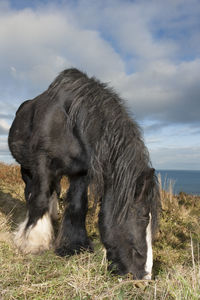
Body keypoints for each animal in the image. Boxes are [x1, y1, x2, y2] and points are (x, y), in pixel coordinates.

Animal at [8, 68, 160, 278]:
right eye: (143, 216)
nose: (144, 276)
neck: (68, 123)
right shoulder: (42, 162)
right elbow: (38, 198)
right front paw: (32, 242)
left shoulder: (81, 172)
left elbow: (78, 205)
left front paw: (73, 246)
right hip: (27, 167)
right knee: (32, 191)